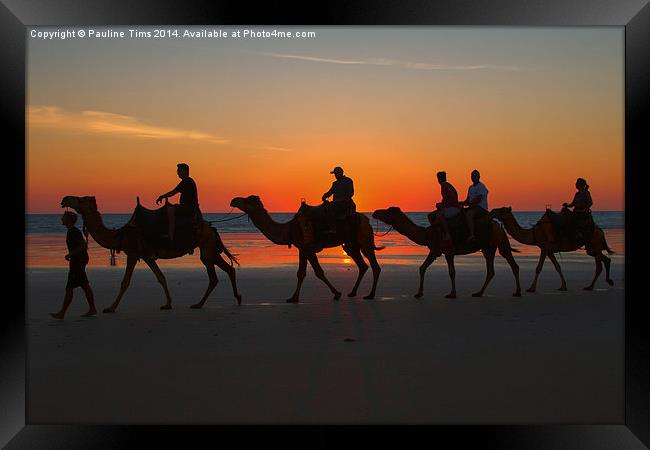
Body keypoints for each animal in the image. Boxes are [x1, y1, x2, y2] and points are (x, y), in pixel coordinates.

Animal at [60, 195, 240, 312]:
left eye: (80, 199)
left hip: (206, 246)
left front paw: (111, 307)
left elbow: (125, 282)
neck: (121, 235)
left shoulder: (133, 253)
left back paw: (199, 304)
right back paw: (236, 298)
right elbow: (161, 277)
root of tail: (211, 227)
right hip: (209, 248)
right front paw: (167, 304)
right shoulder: (147, 256)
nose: (64, 199)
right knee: (227, 269)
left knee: (214, 277)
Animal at [229, 196, 382, 302]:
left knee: (374, 265)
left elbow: (318, 272)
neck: (289, 229)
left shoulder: (308, 248)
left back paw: (370, 295)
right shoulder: (302, 249)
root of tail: (366, 220)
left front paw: (337, 294)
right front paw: (293, 298)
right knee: (362, 265)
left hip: (364, 239)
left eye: (247, 199)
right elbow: (301, 273)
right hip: (351, 244)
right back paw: (352, 293)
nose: (233, 200)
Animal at [370, 207, 520, 298]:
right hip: (489, 247)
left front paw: (452, 293)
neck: (427, 234)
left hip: (498, 243)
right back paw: (478, 293)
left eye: (388, 211)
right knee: (492, 270)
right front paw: (419, 293)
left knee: (512, 264)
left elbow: (451, 272)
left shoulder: (447, 250)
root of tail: (498, 225)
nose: (375, 211)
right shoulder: (435, 250)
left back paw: (517, 292)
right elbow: (422, 268)